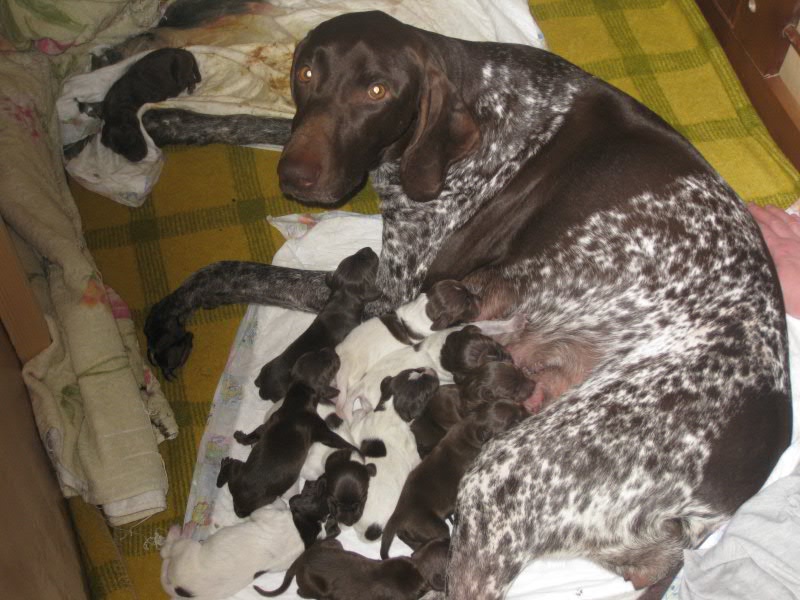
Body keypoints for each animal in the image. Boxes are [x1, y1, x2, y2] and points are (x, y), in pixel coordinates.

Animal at [216, 349, 360, 518]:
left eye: (312, 352)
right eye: (331, 366)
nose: (332, 351)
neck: (298, 396)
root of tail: (239, 503)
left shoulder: (269, 423)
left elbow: (256, 433)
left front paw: (241, 436)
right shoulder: (319, 429)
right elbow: (335, 439)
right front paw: (354, 449)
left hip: (238, 470)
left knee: (226, 475)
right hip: (266, 496)